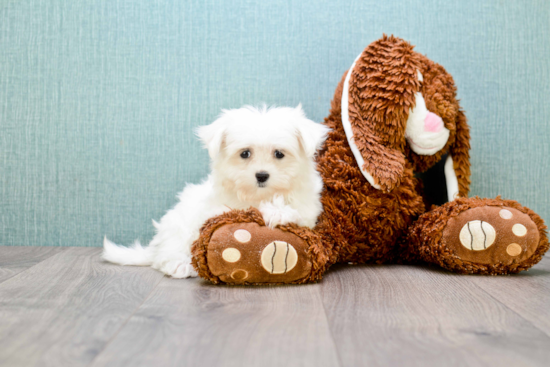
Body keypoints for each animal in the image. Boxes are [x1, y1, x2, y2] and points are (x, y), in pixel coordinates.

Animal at [102, 105, 330, 278]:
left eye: (279, 154)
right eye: (245, 153)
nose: (261, 175)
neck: (258, 196)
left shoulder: (308, 211)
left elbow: (296, 213)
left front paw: (277, 212)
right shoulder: (211, 209)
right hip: (177, 225)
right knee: (168, 252)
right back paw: (180, 263)